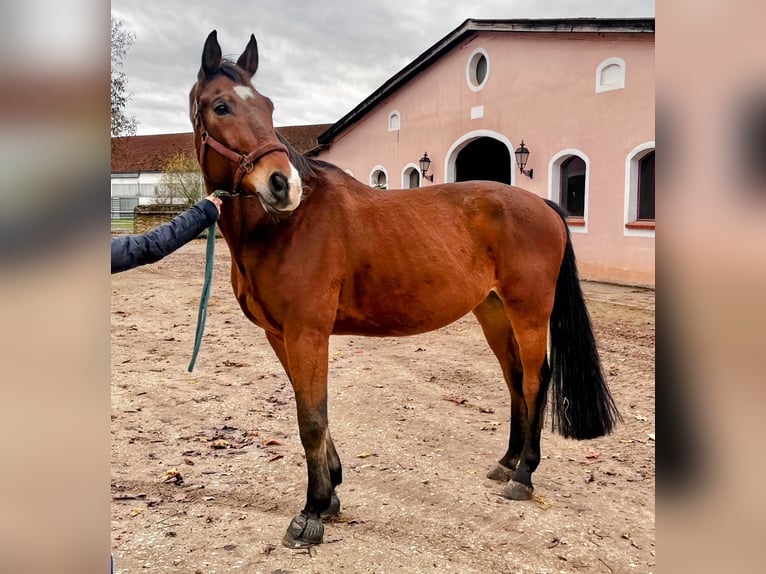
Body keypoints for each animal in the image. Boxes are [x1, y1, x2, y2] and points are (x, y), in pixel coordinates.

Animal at [189, 30, 620, 548]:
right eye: (221, 106)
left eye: (269, 107)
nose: (282, 186)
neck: (284, 227)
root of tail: (545, 205)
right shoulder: (281, 334)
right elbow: (311, 409)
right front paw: (332, 491)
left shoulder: (307, 332)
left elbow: (311, 417)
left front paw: (312, 511)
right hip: (494, 312)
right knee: (515, 378)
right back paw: (508, 462)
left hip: (529, 312)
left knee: (537, 379)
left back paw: (524, 475)